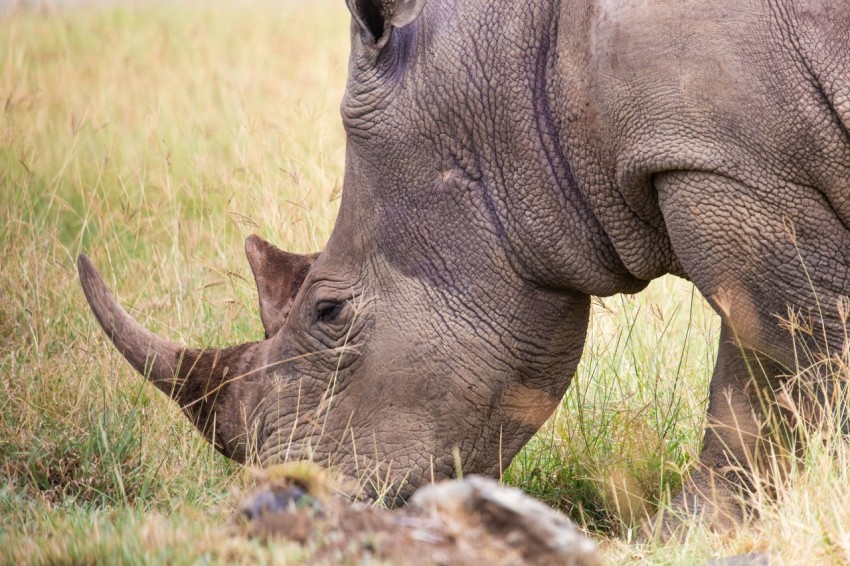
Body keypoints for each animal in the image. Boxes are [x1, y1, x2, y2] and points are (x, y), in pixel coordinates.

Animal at [78, 0, 850, 535]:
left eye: (329, 312)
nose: (282, 499)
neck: (519, 79)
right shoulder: (728, 163)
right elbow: (768, 375)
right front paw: (699, 531)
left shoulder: (729, 166)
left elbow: (774, 364)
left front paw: (679, 532)